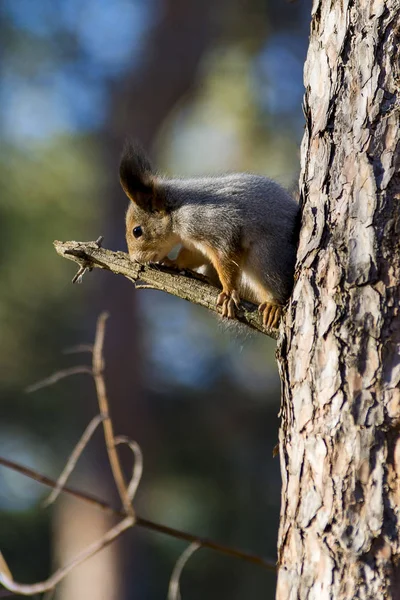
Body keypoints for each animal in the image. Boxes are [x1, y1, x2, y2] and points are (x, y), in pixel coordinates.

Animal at [119, 142, 300, 328]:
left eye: (137, 231)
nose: (134, 259)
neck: (176, 213)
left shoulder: (215, 226)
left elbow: (226, 257)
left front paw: (228, 292)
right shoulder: (195, 246)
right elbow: (192, 256)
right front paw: (174, 262)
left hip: (267, 257)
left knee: (274, 282)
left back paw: (273, 304)